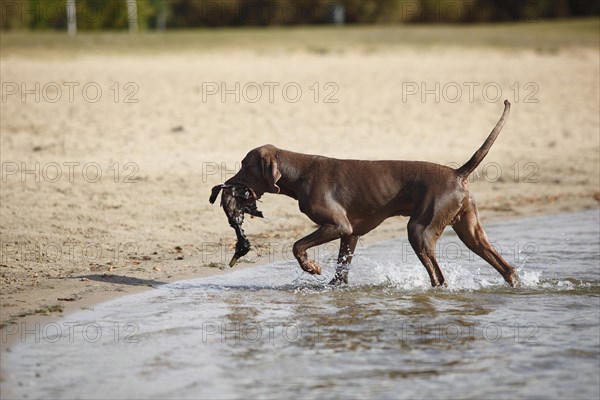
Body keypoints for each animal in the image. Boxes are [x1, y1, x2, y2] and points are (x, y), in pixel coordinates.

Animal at [220, 100, 520, 288]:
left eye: (245, 166)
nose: (225, 185)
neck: (300, 173)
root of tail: (458, 173)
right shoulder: (350, 232)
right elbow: (342, 270)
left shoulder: (338, 225)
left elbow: (297, 246)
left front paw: (311, 268)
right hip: (470, 231)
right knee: (506, 268)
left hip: (420, 231)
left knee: (439, 277)